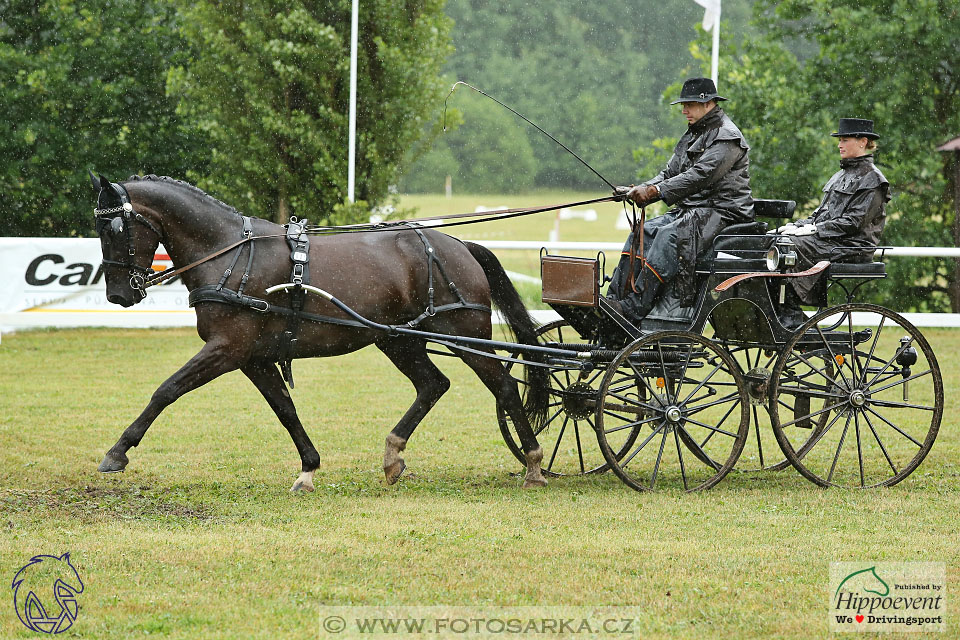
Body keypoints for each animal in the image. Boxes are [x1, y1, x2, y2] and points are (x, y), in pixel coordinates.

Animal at [94, 175, 552, 490]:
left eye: (114, 229)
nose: (117, 294)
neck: (230, 254)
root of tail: (460, 245)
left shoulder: (227, 349)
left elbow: (167, 390)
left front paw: (117, 452)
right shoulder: (253, 358)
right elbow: (285, 410)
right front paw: (308, 468)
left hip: (464, 335)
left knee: (504, 387)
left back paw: (533, 463)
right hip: (397, 339)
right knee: (433, 384)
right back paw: (393, 455)